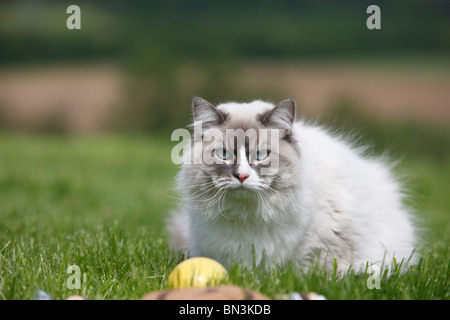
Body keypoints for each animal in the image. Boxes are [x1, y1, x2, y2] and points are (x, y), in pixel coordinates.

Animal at [169, 97, 418, 272]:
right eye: (223, 154)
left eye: (260, 155)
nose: (241, 176)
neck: (247, 215)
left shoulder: (327, 244)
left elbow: (315, 270)